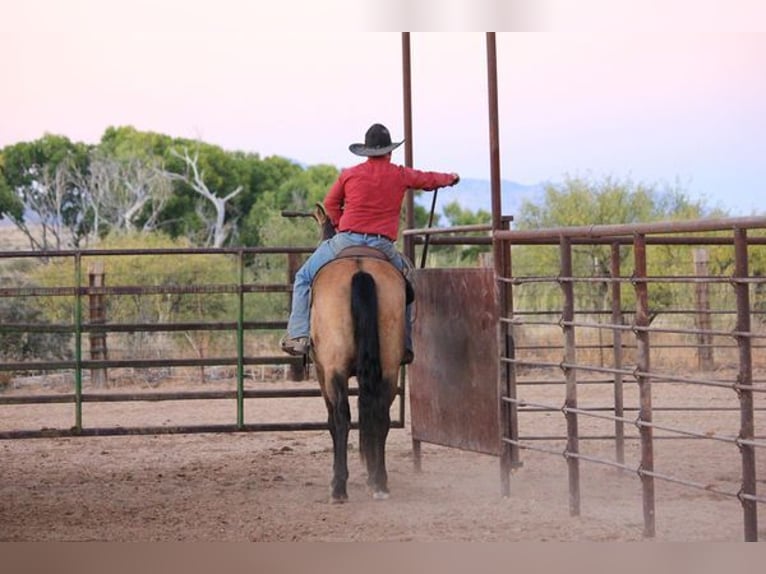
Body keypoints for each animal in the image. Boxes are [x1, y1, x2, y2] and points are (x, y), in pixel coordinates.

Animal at [308, 207, 412, 504]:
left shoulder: (321, 371)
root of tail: (361, 269)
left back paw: (338, 488)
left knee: (342, 418)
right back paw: (379, 482)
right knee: (380, 415)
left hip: (334, 368)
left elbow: (333, 420)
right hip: (388, 367)